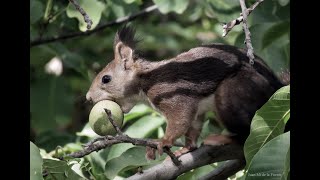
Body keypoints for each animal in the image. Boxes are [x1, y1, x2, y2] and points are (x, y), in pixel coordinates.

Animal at [86, 25, 288, 159]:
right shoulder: (197, 110)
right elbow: (192, 127)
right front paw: (186, 148)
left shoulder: (172, 95)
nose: (88, 98)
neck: (145, 80)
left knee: (245, 134)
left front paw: (163, 141)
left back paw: (222, 138)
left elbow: (180, 120)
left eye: (106, 79)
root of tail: (275, 87)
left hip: (233, 92)